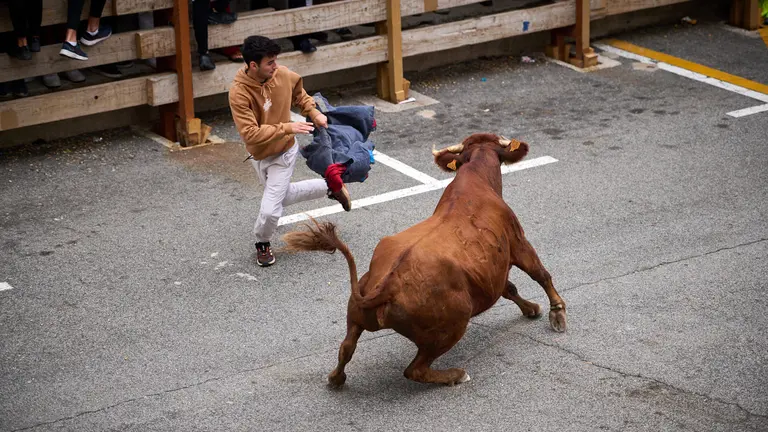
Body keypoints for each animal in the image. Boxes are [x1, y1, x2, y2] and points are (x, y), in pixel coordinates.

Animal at [282, 133, 566, 387]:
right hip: (450, 327)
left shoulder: (490, 271)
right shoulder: (518, 242)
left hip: (355, 315)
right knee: (415, 369)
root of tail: (384, 286)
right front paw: (557, 313)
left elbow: (510, 288)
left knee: (346, 347)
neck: (477, 181)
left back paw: (336, 379)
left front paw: (531, 308)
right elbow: (540, 273)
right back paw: (455, 375)